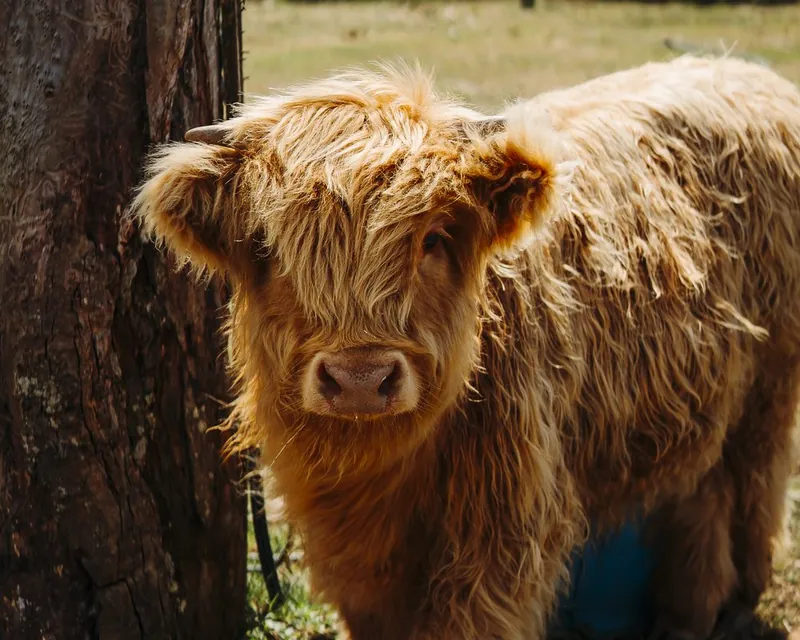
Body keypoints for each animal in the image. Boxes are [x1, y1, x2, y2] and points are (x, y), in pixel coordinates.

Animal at [131, 55, 800, 640]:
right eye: (266, 246)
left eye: (432, 238)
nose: (359, 379)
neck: (386, 470)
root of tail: (745, 72)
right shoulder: (347, 541)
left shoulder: (502, 529)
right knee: (700, 493)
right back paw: (686, 618)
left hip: (770, 387)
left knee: (752, 484)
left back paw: (736, 607)